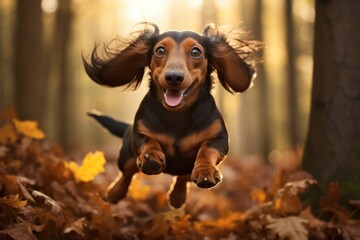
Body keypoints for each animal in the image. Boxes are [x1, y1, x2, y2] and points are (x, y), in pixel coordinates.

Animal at [82, 22, 256, 208]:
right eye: (160, 50)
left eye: (196, 52)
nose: (173, 77)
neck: (177, 115)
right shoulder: (139, 134)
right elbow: (149, 141)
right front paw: (151, 156)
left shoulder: (219, 139)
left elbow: (206, 149)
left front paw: (205, 171)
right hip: (126, 155)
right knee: (127, 173)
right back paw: (114, 194)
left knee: (182, 177)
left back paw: (177, 197)